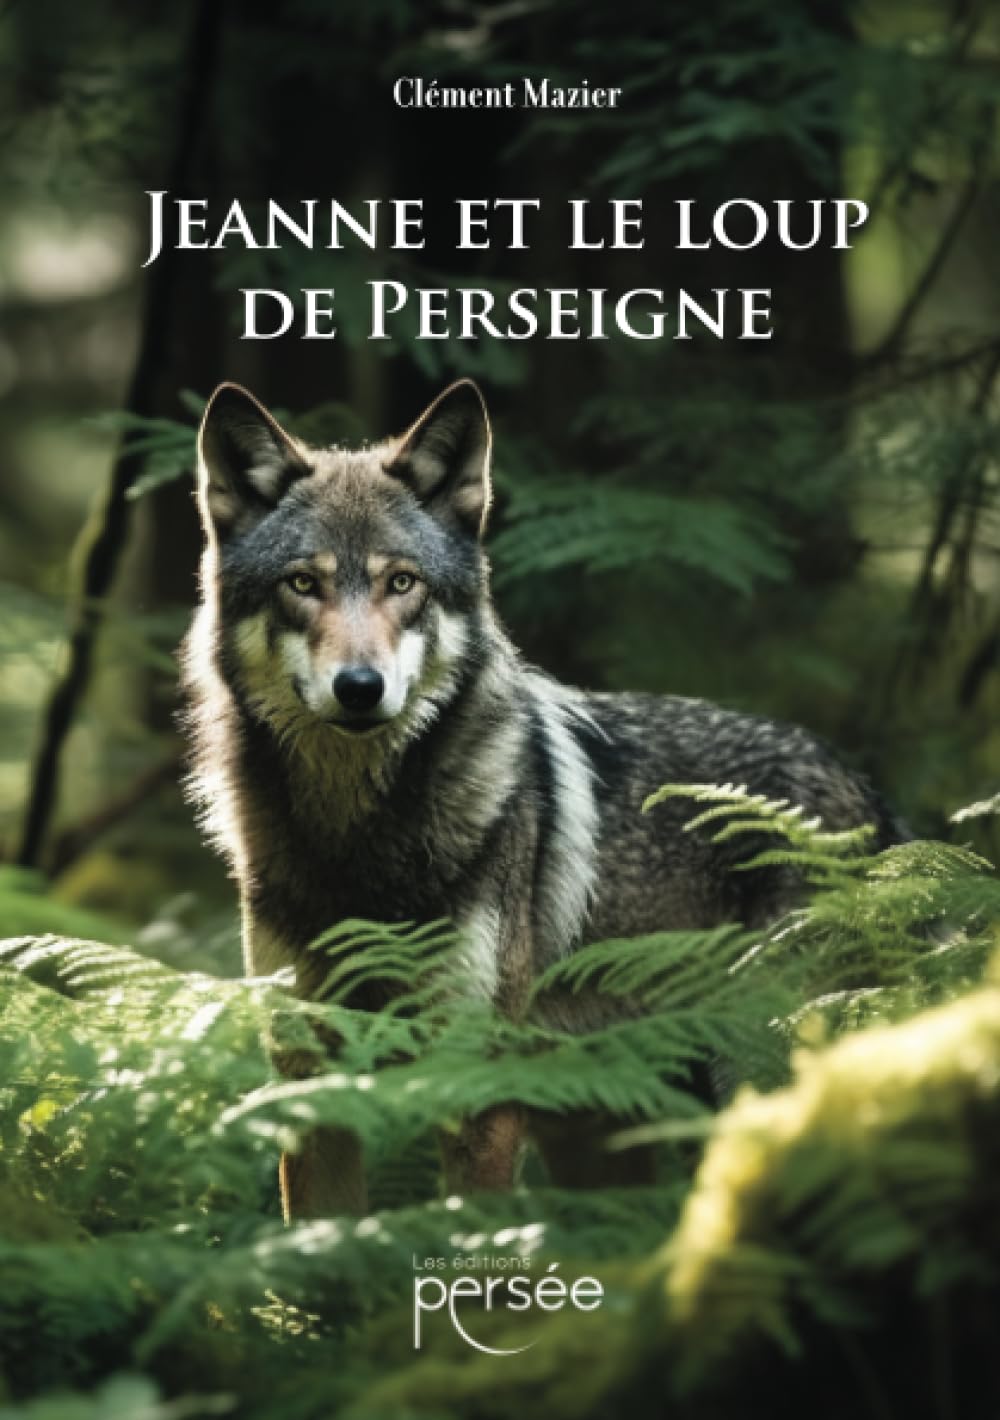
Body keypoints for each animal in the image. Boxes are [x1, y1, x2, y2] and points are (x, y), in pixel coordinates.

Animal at [183, 377, 902, 1219]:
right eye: (303, 583)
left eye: (403, 583)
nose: (360, 688)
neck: (357, 842)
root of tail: (871, 797)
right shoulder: (310, 1086)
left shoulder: (480, 1088)